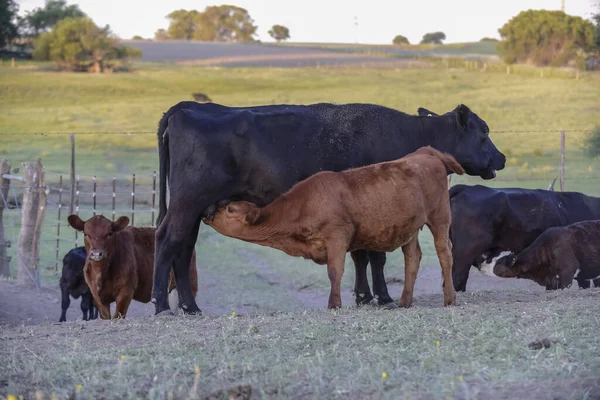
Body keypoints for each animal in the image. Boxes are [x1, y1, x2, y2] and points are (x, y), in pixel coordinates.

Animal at [67, 214, 199, 320]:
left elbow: (118, 316)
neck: (102, 273)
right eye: (86, 234)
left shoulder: (126, 291)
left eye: (109, 233)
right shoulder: (96, 295)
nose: (96, 254)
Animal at [204, 147, 462, 310]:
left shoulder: (337, 236)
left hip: (440, 217)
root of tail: (426, 152)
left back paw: (449, 298)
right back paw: (404, 301)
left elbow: (334, 271)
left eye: (230, 209)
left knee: (445, 252)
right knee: (413, 258)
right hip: (409, 228)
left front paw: (334, 304)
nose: (207, 211)